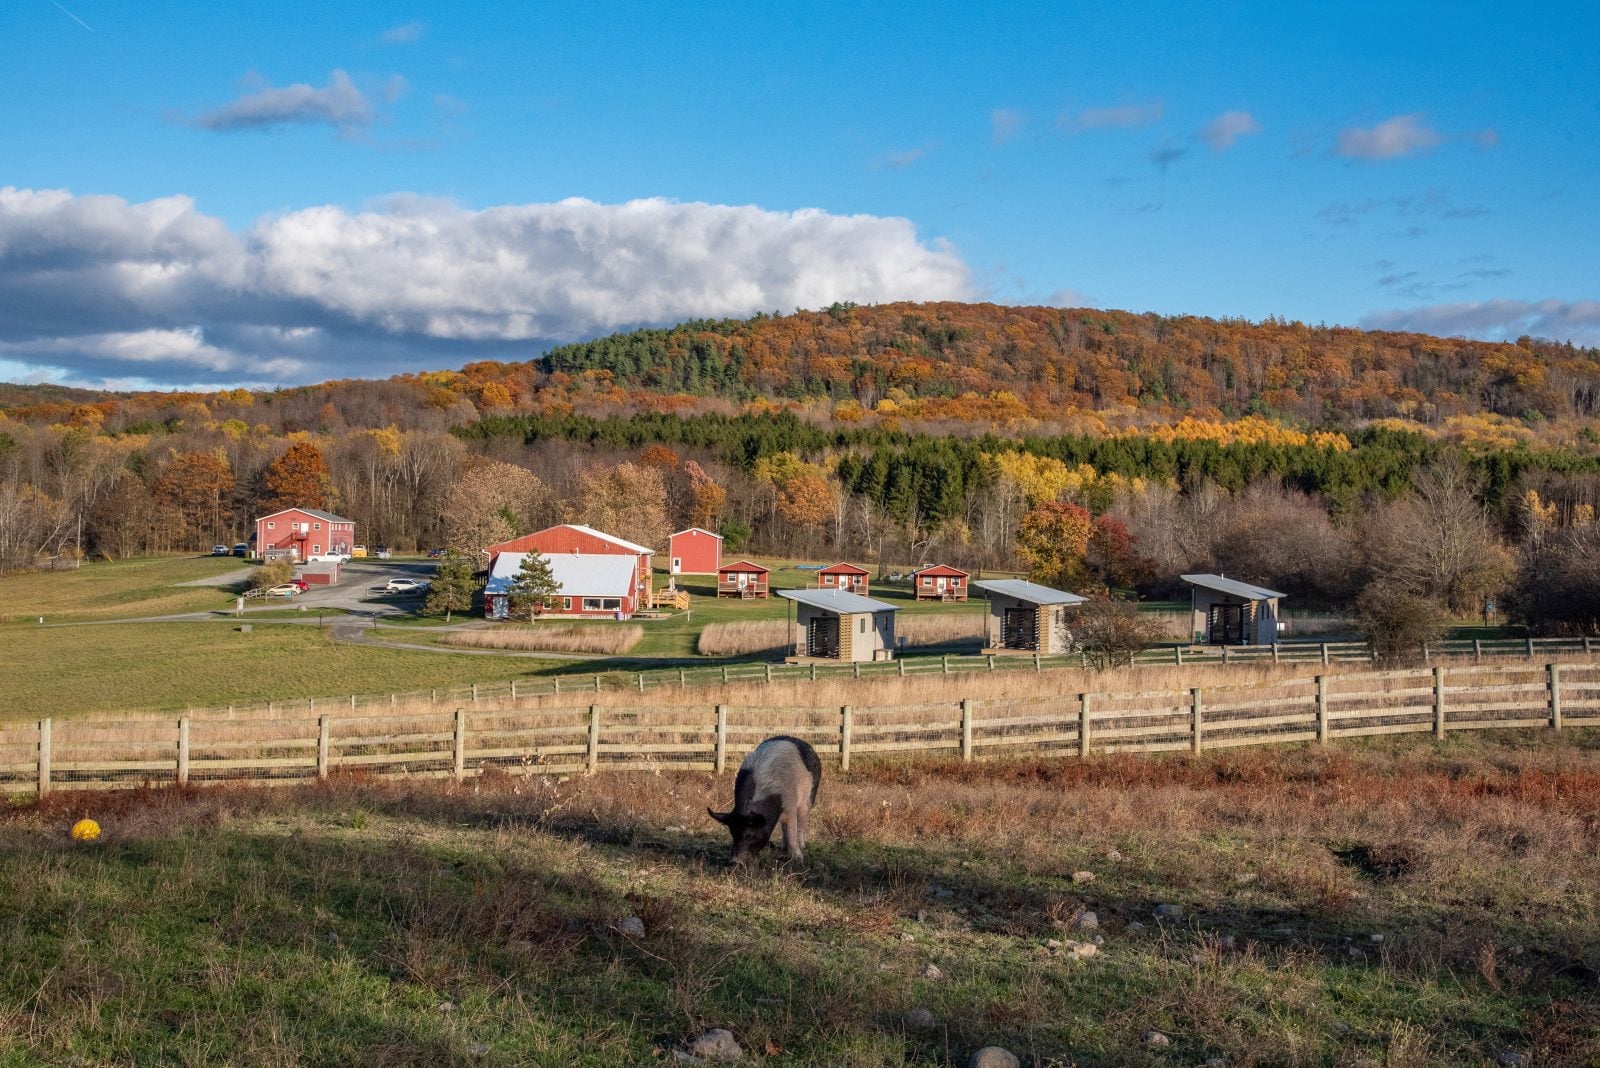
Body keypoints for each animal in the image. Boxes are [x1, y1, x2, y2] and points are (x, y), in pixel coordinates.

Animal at [708, 735, 822, 865]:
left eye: (749, 835)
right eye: (732, 833)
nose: (735, 862)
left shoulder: (790, 804)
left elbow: (792, 830)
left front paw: (799, 860)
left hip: (811, 793)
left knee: (802, 821)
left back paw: (801, 846)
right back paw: (783, 847)